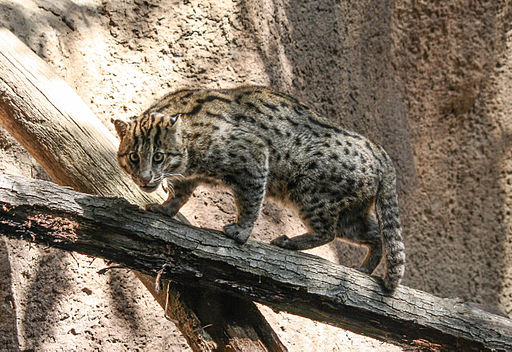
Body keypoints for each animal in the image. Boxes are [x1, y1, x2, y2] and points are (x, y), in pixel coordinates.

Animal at [114, 86, 406, 290]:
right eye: (134, 157)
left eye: (158, 156)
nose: (145, 179)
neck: (189, 146)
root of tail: (380, 152)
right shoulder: (188, 177)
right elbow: (180, 195)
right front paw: (164, 210)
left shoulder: (252, 156)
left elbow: (250, 201)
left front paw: (241, 231)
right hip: (350, 214)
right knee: (375, 234)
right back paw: (365, 269)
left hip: (310, 195)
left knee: (328, 232)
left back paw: (289, 242)